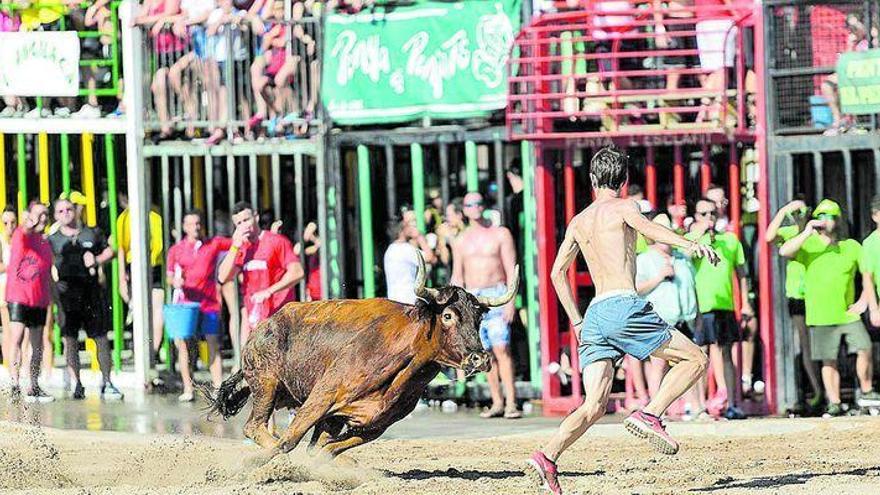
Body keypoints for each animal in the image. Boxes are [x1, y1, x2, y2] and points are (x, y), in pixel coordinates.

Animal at [199, 256, 516, 462]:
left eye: (478, 318)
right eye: (448, 315)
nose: (479, 358)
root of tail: (262, 328)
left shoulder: (372, 424)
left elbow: (326, 449)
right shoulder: (322, 397)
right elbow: (289, 441)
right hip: (267, 384)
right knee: (255, 426)